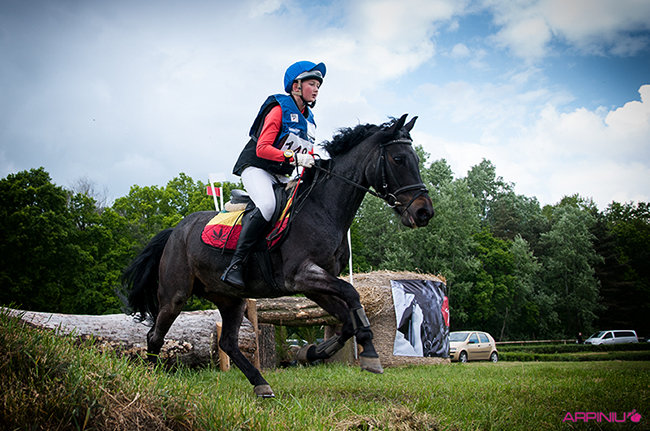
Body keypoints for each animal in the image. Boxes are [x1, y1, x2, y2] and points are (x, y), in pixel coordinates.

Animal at [122, 114, 434, 398]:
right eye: (398, 159)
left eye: (416, 160)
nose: (424, 212)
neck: (323, 208)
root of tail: (176, 230)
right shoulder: (302, 275)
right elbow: (352, 296)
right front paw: (368, 352)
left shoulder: (317, 283)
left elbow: (346, 318)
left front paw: (314, 352)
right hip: (175, 295)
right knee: (155, 335)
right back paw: (152, 379)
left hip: (230, 298)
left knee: (228, 343)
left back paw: (260, 383)